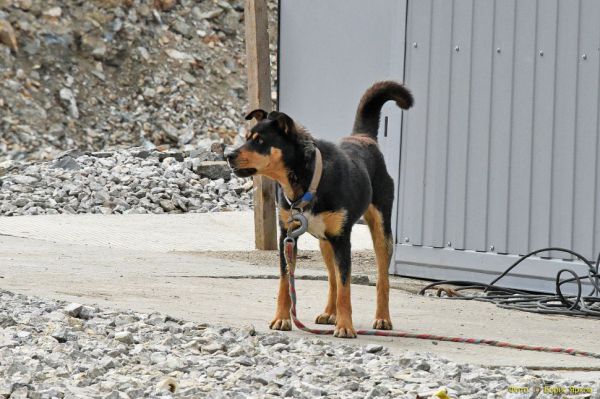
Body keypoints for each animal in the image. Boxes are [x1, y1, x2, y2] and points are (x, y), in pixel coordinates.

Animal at [225, 83, 412, 340]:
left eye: (260, 141)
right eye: (246, 139)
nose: (228, 155)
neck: (307, 180)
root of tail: (363, 137)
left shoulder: (342, 240)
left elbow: (346, 287)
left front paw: (345, 326)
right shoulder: (287, 236)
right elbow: (285, 282)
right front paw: (282, 318)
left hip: (381, 231)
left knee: (381, 278)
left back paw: (382, 318)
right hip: (325, 241)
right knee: (332, 278)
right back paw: (329, 313)